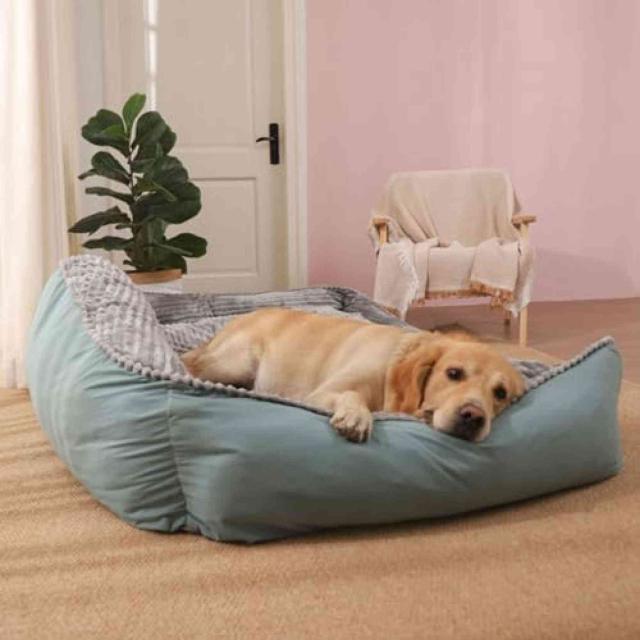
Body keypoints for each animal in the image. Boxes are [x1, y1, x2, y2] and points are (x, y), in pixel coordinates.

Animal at [181, 308, 525, 444]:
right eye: (453, 373)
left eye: (500, 393)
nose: (473, 417)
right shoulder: (324, 393)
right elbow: (352, 395)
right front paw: (357, 418)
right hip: (238, 363)